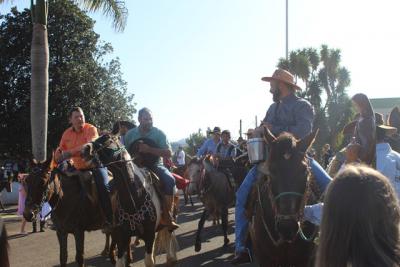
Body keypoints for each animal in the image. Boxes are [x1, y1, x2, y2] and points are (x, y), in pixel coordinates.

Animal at [81, 136, 178, 267]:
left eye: (108, 138)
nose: (85, 149)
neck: (134, 199)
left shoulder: (149, 234)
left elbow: (149, 261)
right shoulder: (121, 236)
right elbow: (120, 261)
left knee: (168, 232)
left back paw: (171, 257)